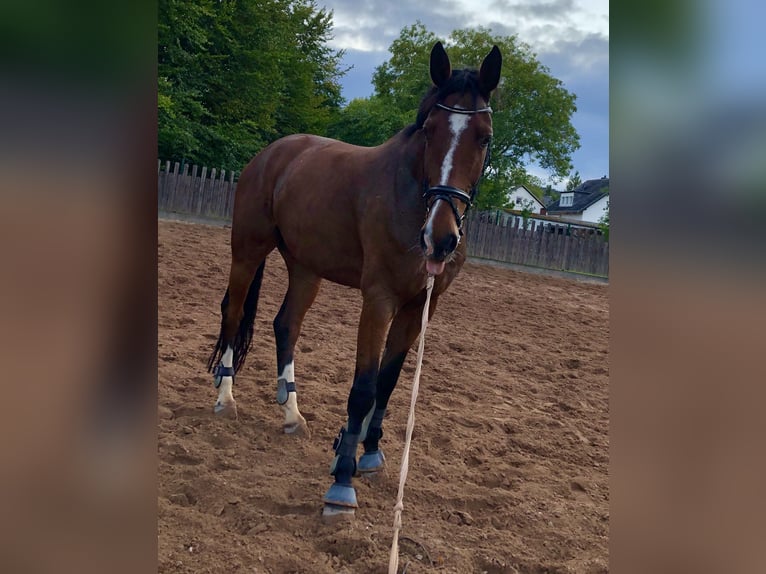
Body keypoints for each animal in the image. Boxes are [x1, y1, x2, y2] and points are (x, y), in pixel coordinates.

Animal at [207, 40, 504, 516]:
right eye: (430, 130)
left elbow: (388, 381)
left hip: (306, 268)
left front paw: (369, 450)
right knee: (234, 316)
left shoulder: (419, 306)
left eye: (485, 137)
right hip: (248, 252)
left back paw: (291, 413)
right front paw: (342, 480)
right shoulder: (378, 299)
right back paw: (225, 397)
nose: (440, 240)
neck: (410, 198)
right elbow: (364, 386)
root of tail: (272, 154)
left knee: (286, 325)